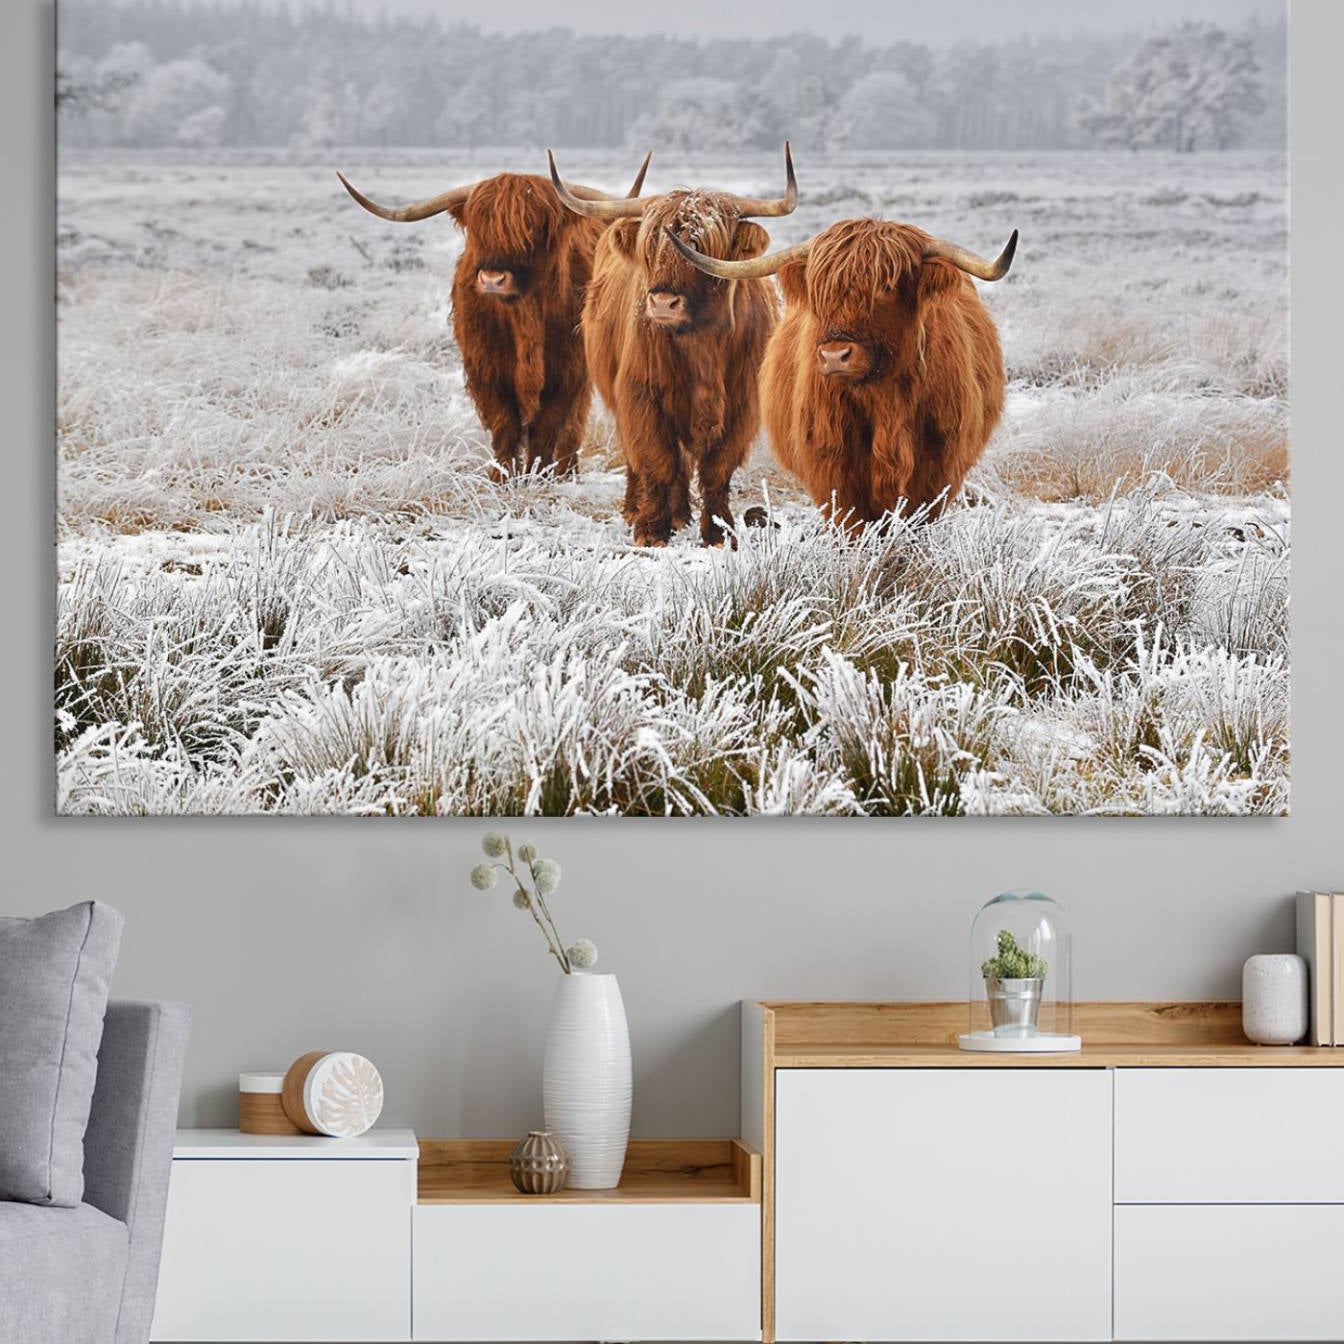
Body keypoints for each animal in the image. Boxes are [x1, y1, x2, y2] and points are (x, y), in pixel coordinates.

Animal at [337, 156, 650, 479]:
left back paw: (566, 471)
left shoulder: (568, 371)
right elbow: (505, 425)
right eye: (479, 229)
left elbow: (547, 427)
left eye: (534, 227)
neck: (524, 317)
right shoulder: (486, 370)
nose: (492, 279)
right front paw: (501, 477)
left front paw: (539, 475)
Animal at [547, 147, 797, 547]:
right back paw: (642, 509)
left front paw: (719, 532)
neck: (702, 345)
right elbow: (657, 461)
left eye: (703, 247)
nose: (663, 302)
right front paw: (650, 530)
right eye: (651, 247)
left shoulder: (742, 406)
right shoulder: (641, 396)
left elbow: (716, 469)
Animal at [666, 218, 1018, 530]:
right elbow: (852, 525)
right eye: (820, 290)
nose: (835, 355)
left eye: (887, 286)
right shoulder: (832, 467)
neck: (884, 401)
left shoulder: (937, 468)